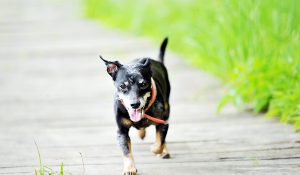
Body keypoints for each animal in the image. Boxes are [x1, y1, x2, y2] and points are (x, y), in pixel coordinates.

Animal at [101, 37, 171, 174]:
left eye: (143, 84)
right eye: (122, 86)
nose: (134, 104)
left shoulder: (163, 123)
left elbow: (159, 142)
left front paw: (156, 149)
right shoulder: (121, 131)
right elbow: (126, 150)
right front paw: (130, 168)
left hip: (167, 107)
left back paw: (164, 151)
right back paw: (141, 133)